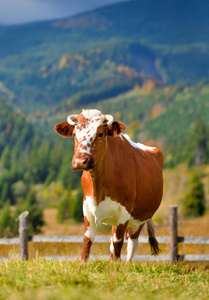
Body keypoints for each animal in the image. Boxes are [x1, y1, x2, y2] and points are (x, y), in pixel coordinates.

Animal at [54, 109, 163, 262]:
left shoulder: (125, 210)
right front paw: (83, 263)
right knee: (113, 240)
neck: (98, 186)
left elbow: (118, 242)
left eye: (100, 134)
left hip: (140, 218)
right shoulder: (86, 205)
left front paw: (116, 264)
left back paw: (126, 263)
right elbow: (88, 239)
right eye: (75, 134)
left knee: (131, 243)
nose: (81, 160)